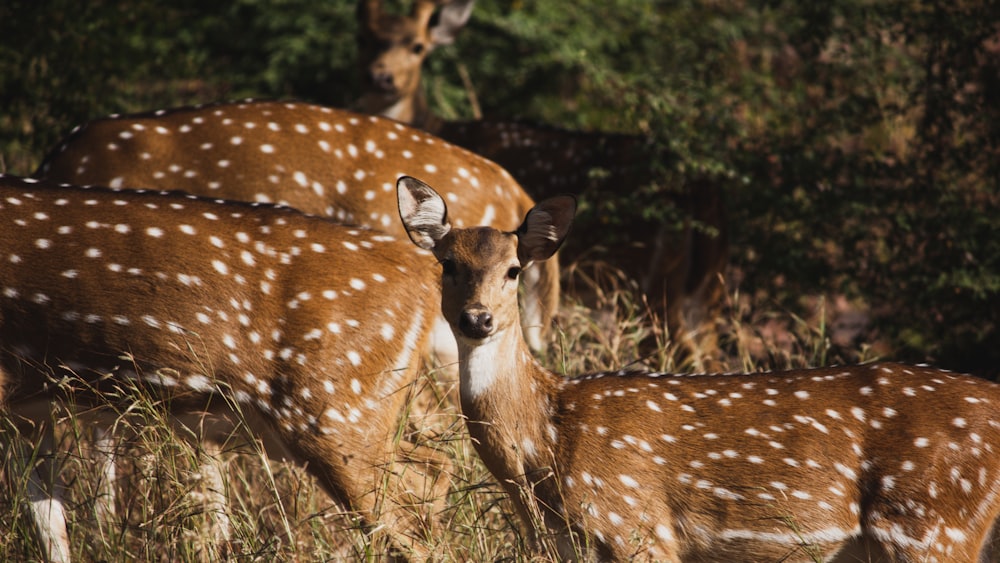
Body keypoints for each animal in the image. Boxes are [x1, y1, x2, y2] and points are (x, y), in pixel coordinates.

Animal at [356, 0, 732, 368]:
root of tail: (706, 192)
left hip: (653, 284)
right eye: (368, 39)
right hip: (704, 294)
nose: (380, 77)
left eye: (417, 46)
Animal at [396, 175, 1000, 563]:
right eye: (447, 265)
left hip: (930, 524)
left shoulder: (637, 525)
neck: (545, 449)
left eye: (515, 270)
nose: (477, 318)